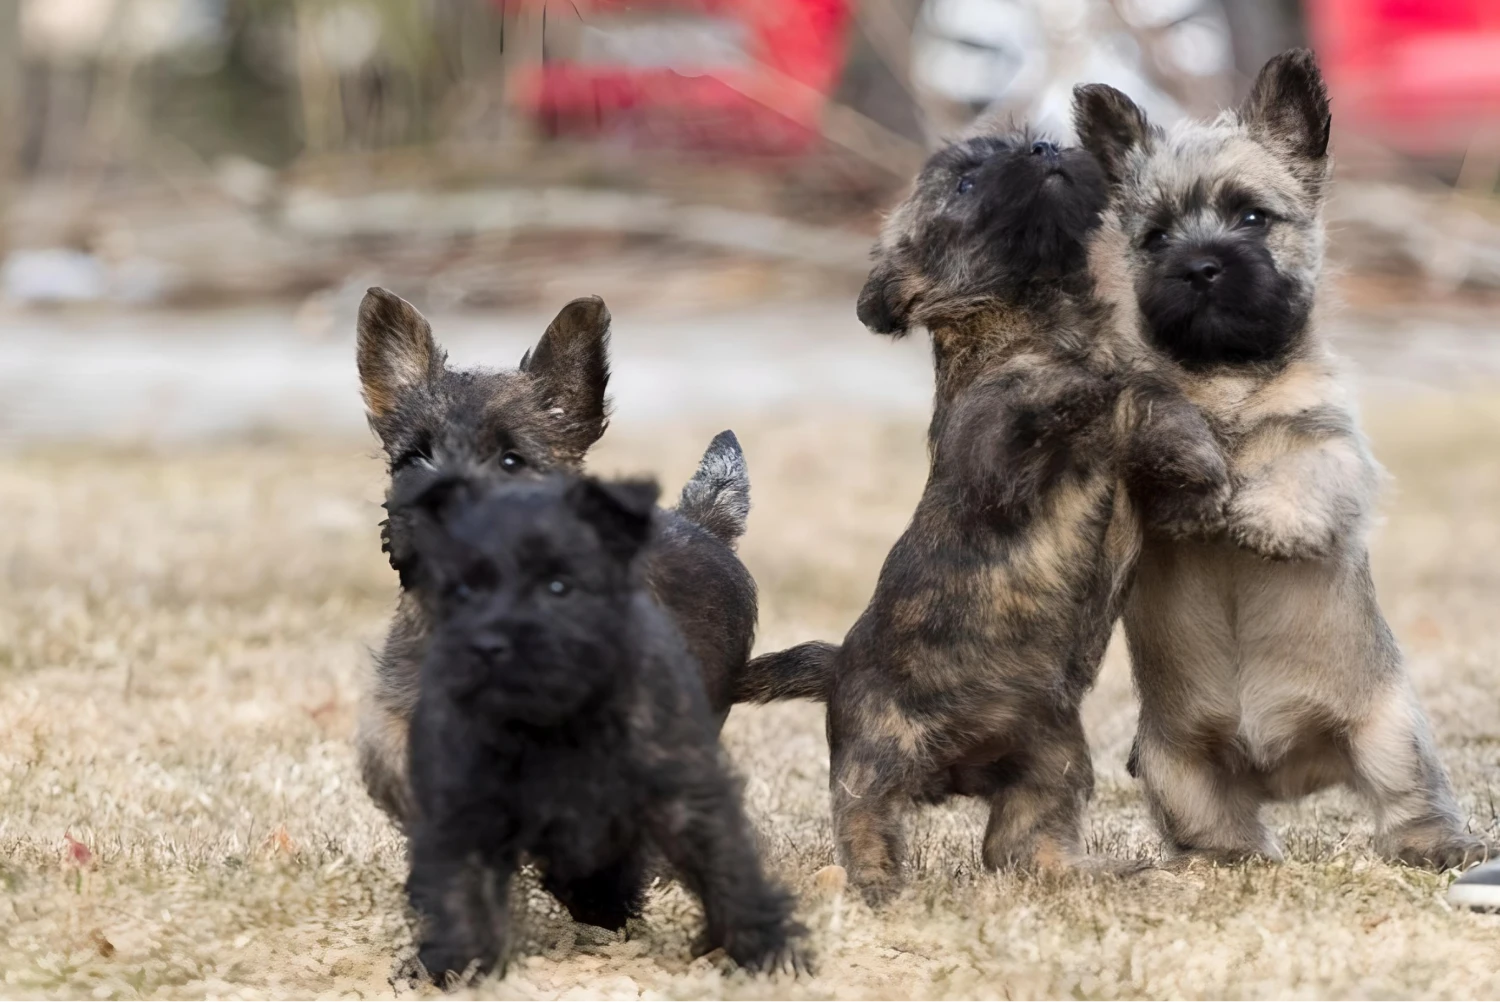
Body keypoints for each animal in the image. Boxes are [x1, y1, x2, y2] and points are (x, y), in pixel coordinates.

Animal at [393, 471, 804, 984]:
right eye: (464, 590)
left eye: (558, 585)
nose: (487, 644)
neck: (552, 723)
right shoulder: (464, 799)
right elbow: (459, 886)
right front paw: (452, 966)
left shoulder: (679, 788)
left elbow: (722, 861)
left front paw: (767, 950)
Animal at [750, 123, 1230, 900]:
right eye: (966, 183)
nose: (1043, 150)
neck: (1039, 313)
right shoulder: (996, 454)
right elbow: (1056, 392)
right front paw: (1089, 376)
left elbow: (1157, 415)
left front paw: (1201, 462)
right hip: (876, 757)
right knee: (863, 818)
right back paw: (876, 883)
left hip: (1054, 760)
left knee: (1016, 848)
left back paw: (1105, 869)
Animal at [1080, 48, 1488, 870]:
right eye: (1157, 237)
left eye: (1251, 217)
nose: (1200, 266)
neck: (1225, 380)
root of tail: (1288, 766)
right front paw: (1198, 491)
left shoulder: (1338, 453)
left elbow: (1300, 475)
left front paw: (1259, 515)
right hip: (1172, 766)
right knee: (1217, 828)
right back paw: (1219, 860)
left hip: (1391, 736)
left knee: (1410, 803)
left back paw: (1437, 846)